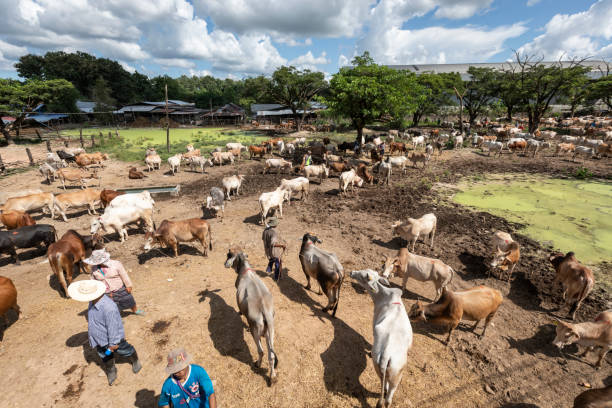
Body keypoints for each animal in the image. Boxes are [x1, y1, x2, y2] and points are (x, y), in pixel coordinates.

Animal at [224, 247, 278, 384]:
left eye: (229, 255)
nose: (225, 264)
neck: (245, 270)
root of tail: (264, 310)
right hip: (271, 332)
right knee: (271, 355)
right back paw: (273, 377)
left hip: (255, 330)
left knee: (261, 351)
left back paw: (258, 364)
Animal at [350, 268, 412, 408]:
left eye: (363, 276)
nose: (351, 272)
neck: (383, 296)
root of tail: (386, 354)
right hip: (394, 373)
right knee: (388, 395)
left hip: (382, 368)